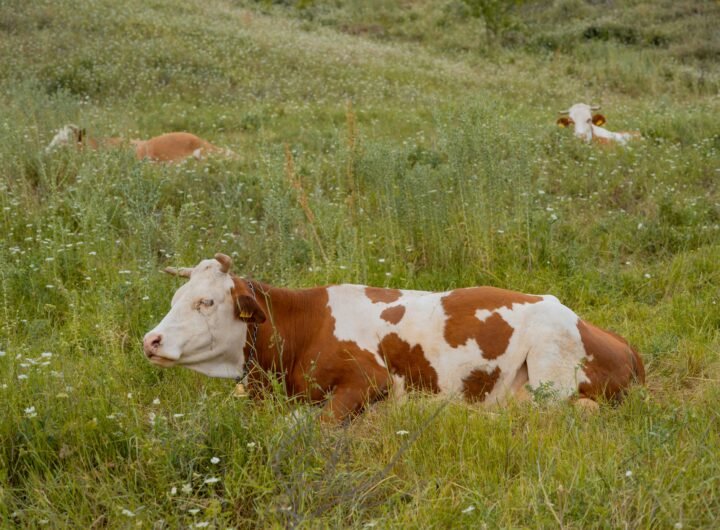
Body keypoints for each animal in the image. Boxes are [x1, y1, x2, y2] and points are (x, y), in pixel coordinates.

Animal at [143, 252, 644, 420]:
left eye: (207, 302)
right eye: (176, 295)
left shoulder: (370, 380)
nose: (150, 340)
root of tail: (626, 346)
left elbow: (316, 422)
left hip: (548, 367)